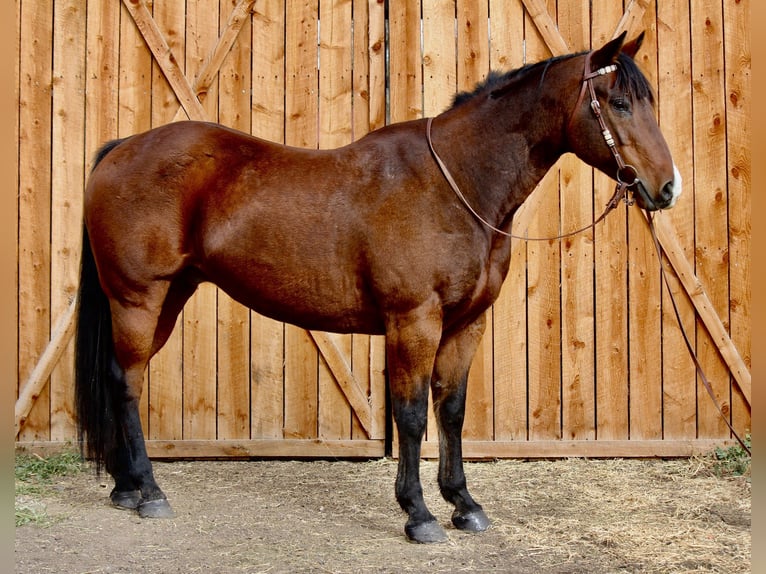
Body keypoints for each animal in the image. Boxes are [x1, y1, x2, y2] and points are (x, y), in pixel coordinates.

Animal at [75, 31, 681, 543]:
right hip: (139, 298)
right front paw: (419, 514)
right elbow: (410, 415)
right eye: (618, 102)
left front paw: (464, 504)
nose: (667, 187)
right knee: (126, 382)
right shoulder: (414, 320)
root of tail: (123, 148)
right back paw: (149, 491)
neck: (455, 184)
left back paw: (127, 489)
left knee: (121, 378)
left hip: (169, 296)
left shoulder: (466, 323)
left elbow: (451, 410)